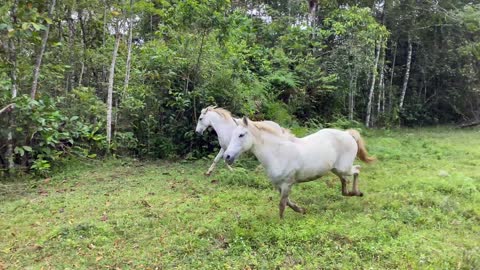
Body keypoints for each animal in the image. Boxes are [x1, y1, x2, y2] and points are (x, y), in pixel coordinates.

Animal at [223, 117, 376, 218]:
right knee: (345, 181)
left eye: (241, 135)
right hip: (335, 169)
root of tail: (347, 134)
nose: (227, 156)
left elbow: (282, 204)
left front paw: (280, 222)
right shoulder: (279, 185)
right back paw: (351, 193)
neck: (277, 153)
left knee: (357, 170)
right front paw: (302, 210)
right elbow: (288, 203)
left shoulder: (287, 183)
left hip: (344, 167)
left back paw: (357, 192)